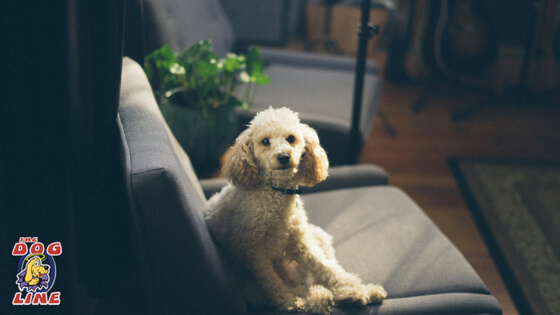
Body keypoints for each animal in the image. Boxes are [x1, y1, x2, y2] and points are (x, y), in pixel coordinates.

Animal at [205, 108, 384, 314]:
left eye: (291, 138)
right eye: (265, 141)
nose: (284, 156)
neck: (276, 193)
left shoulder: (301, 241)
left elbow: (325, 267)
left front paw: (352, 289)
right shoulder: (253, 251)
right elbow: (272, 284)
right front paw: (290, 301)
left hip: (318, 235)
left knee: (326, 269)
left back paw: (365, 291)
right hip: (252, 290)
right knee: (303, 292)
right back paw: (315, 298)